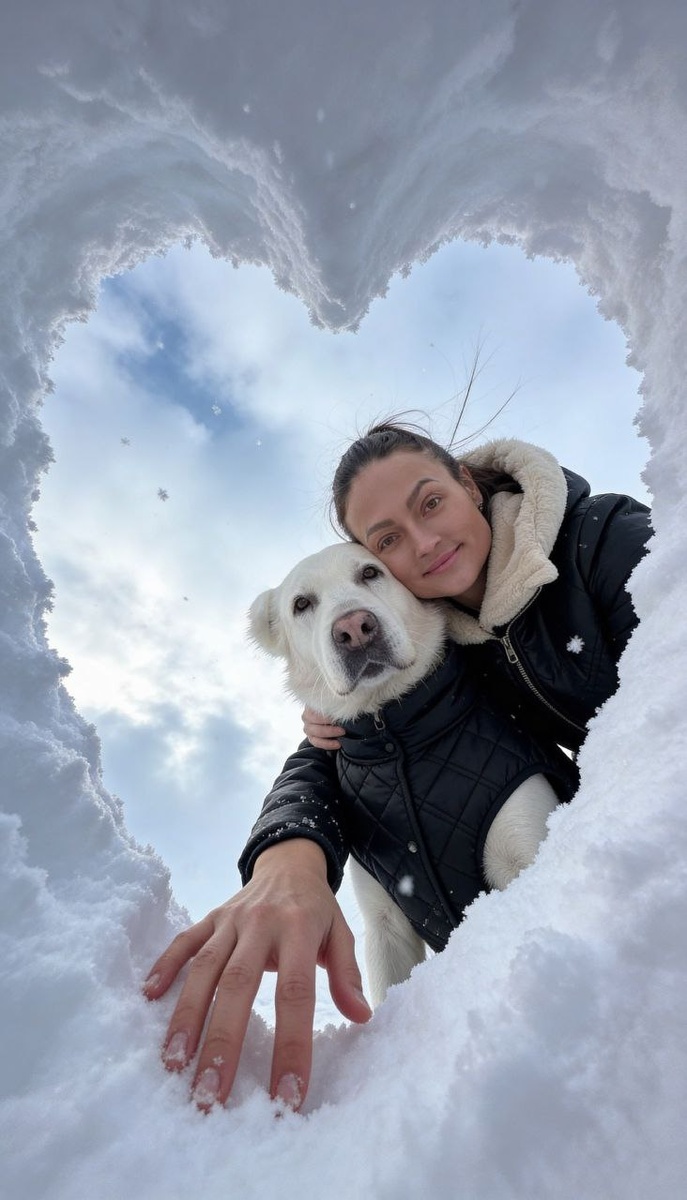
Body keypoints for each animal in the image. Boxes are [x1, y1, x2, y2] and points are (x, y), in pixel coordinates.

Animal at [249, 542, 559, 1006]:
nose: (355, 630)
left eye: (371, 572)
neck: (393, 731)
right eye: (301, 604)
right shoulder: (385, 920)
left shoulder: (524, 842)